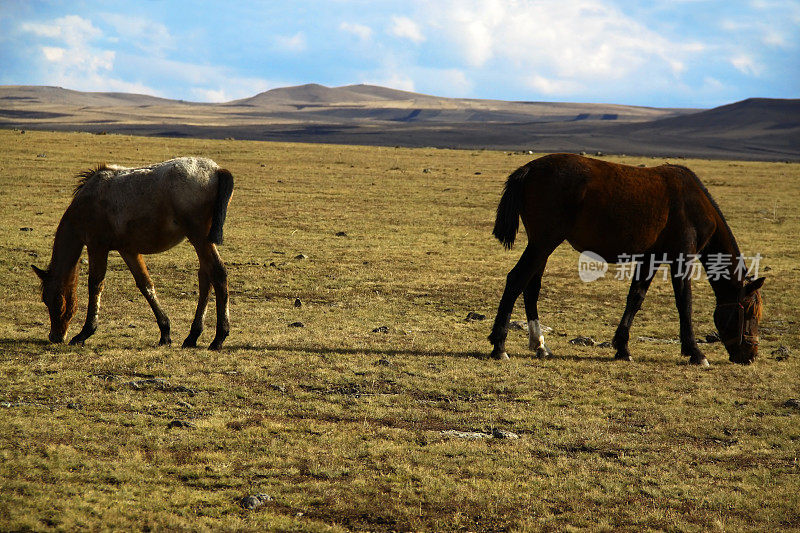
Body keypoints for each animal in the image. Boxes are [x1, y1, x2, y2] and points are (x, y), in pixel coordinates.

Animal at [34, 156, 234, 350]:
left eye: (53, 300)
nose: (55, 337)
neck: (87, 202)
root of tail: (216, 170)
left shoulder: (97, 247)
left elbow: (95, 285)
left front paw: (85, 332)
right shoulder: (128, 251)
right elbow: (145, 285)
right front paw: (165, 332)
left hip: (199, 237)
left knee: (217, 273)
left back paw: (219, 337)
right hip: (199, 241)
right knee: (205, 277)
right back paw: (192, 336)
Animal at [488, 152, 764, 364]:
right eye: (750, 311)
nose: (750, 356)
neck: (695, 205)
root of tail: (529, 169)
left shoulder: (651, 258)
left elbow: (635, 298)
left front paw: (622, 348)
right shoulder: (681, 259)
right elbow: (684, 303)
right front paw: (695, 352)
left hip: (542, 246)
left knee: (531, 287)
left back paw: (540, 345)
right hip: (544, 242)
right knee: (516, 280)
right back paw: (499, 346)